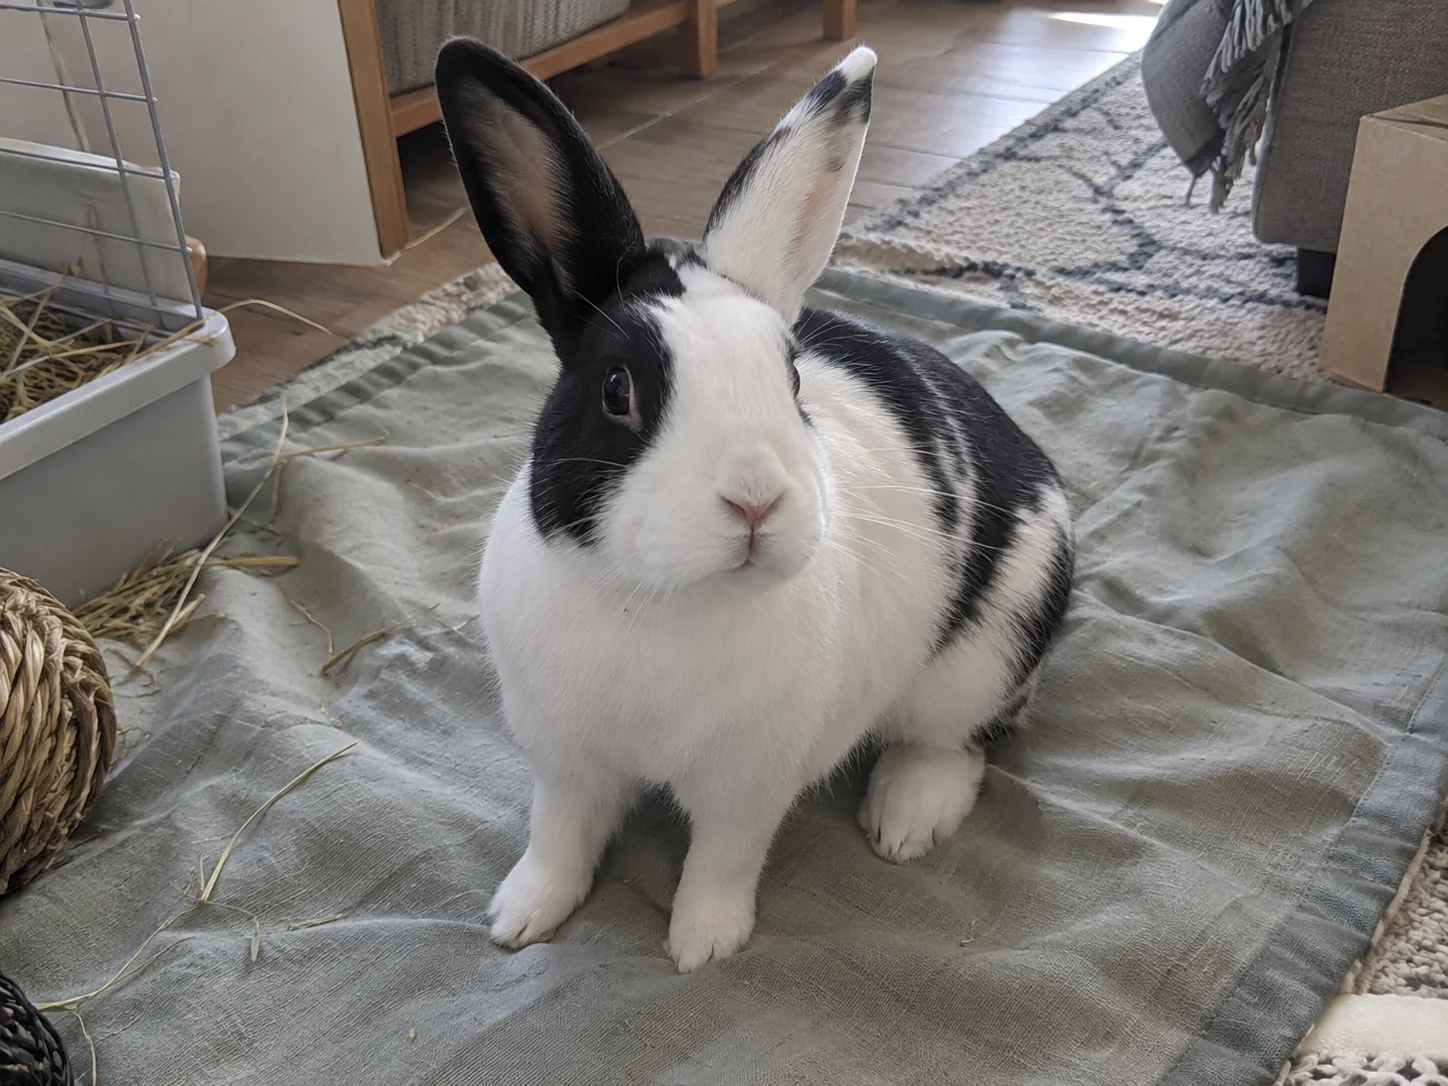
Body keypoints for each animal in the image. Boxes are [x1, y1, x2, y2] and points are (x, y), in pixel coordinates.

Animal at [435, 38, 1075, 973]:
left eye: (792, 378)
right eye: (618, 389)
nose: (755, 501)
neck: (659, 602)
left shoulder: (749, 781)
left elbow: (723, 859)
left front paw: (703, 945)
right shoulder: (565, 760)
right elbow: (558, 835)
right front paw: (520, 918)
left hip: (981, 659)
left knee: (964, 743)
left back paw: (904, 819)